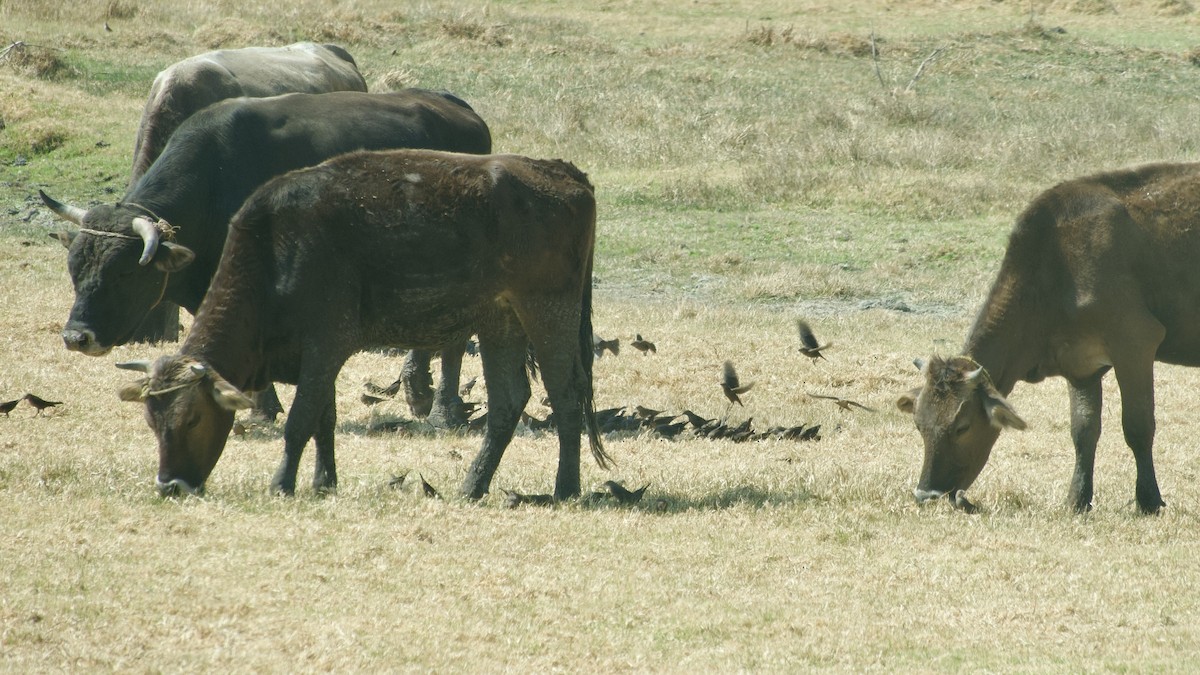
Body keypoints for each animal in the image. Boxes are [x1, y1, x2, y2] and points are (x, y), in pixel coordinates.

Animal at [43, 87, 487, 417]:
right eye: (75, 268)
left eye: (124, 273)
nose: (77, 336)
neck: (215, 180)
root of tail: (462, 112)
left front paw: (260, 408)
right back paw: (419, 394)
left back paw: (444, 409)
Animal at [114, 149, 609, 497]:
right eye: (153, 421)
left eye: (193, 418)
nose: (171, 486)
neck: (277, 250)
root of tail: (561, 172)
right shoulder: (320, 358)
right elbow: (324, 419)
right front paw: (323, 481)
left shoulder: (327, 344)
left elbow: (300, 420)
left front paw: (282, 483)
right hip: (500, 322)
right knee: (508, 402)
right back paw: (472, 486)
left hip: (548, 312)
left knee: (566, 398)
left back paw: (565, 488)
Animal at [892, 162, 1200, 509]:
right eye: (919, 424)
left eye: (962, 427)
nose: (926, 494)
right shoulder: (1081, 365)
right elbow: (1083, 430)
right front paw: (1077, 500)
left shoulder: (1135, 341)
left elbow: (1137, 426)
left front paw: (1149, 501)